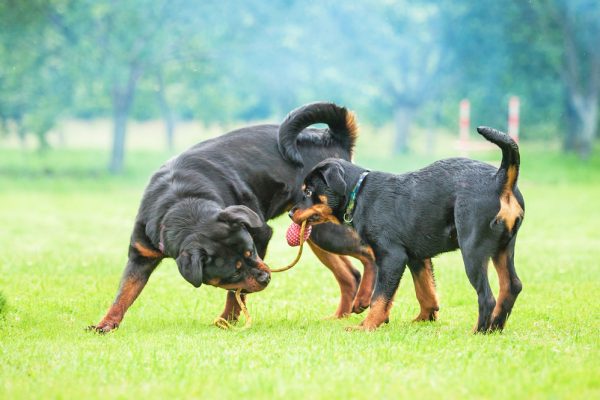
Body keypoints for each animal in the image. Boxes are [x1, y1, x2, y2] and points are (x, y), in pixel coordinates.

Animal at [91, 101, 370, 332]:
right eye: (233, 272)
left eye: (251, 252)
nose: (266, 277)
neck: (182, 201)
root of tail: (331, 139)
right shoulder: (140, 256)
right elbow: (124, 292)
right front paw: (105, 324)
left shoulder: (261, 234)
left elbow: (236, 294)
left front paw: (226, 320)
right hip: (311, 230)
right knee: (349, 274)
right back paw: (341, 315)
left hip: (328, 228)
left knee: (368, 253)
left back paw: (365, 297)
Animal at [292, 127, 524, 332]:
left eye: (309, 191)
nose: (291, 212)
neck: (358, 194)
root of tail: (499, 179)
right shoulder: (416, 257)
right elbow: (425, 290)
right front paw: (423, 319)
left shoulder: (392, 256)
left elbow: (380, 296)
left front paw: (366, 326)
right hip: (504, 248)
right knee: (511, 286)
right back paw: (495, 328)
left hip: (473, 251)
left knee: (487, 297)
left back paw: (478, 331)